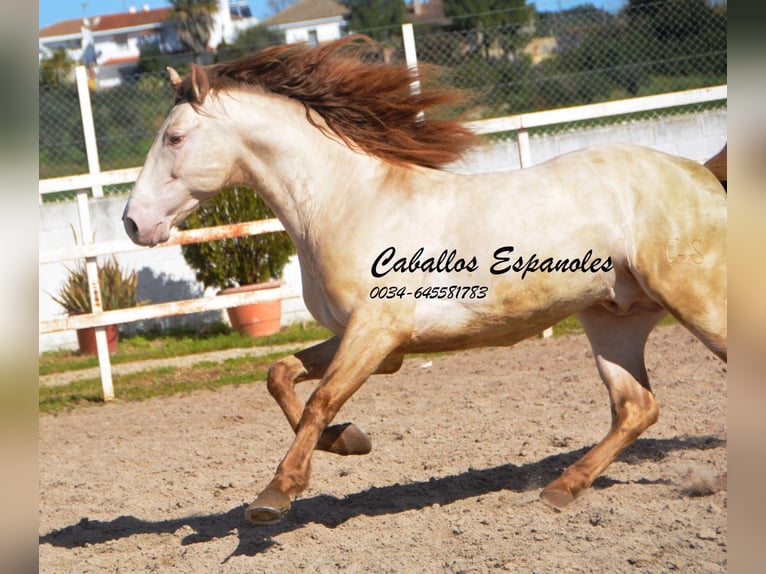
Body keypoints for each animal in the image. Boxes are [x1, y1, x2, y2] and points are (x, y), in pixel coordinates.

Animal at [123, 36, 728, 528]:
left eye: (174, 137)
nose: (133, 222)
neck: (349, 202)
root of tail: (699, 174)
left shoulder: (377, 334)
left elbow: (320, 399)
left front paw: (276, 494)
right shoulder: (369, 342)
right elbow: (281, 375)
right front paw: (350, 442)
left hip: (697, 302)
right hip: (612, 317)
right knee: (636, 407)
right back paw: (561, 489)